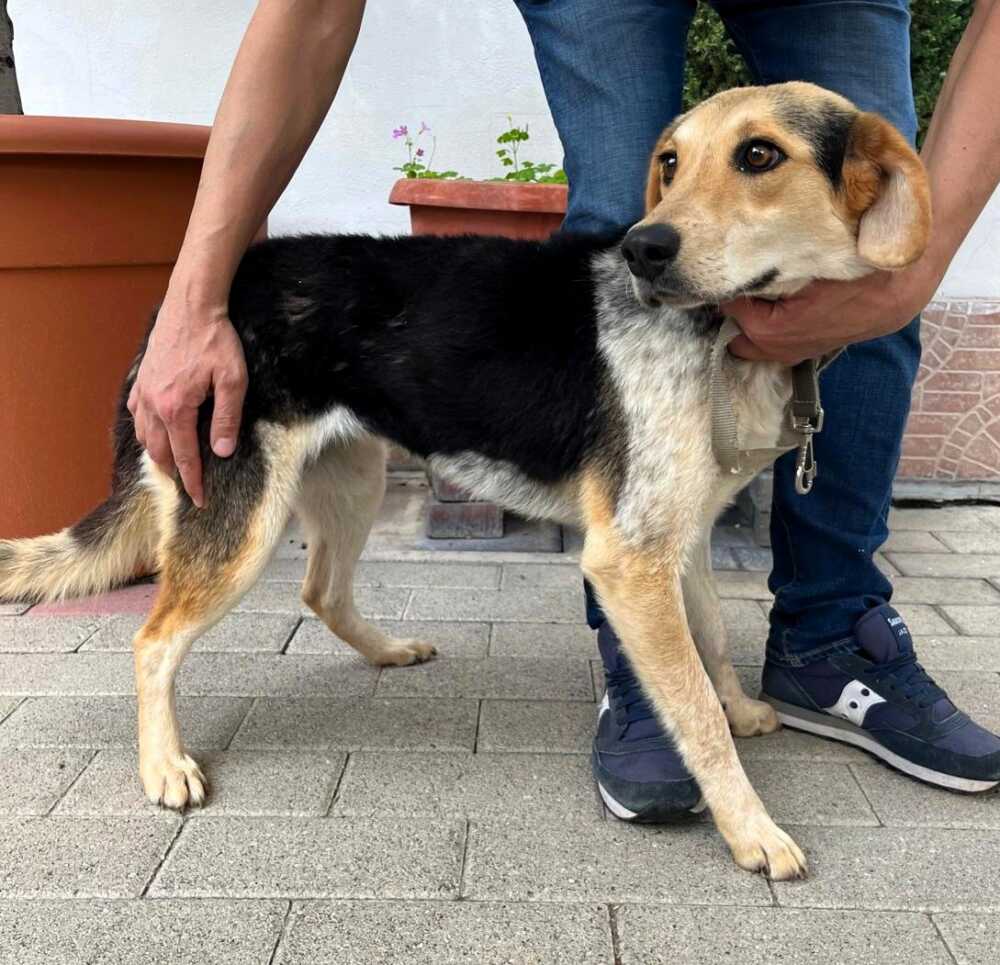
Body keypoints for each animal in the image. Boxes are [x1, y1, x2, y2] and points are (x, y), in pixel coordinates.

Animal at [0, 82, 930, 879]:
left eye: (760, 155)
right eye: (670, 161)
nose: (643, 249)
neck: (722, 337)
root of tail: (185, 301)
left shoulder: (681, 536)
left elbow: (712, 651)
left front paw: (743, 710)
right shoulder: (629, 560)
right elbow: (692, 712)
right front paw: (753, 829)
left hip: (354, 477)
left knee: (321, 590)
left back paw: (386, 651)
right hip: (244, 518)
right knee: (154, 639)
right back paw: (164, 764)